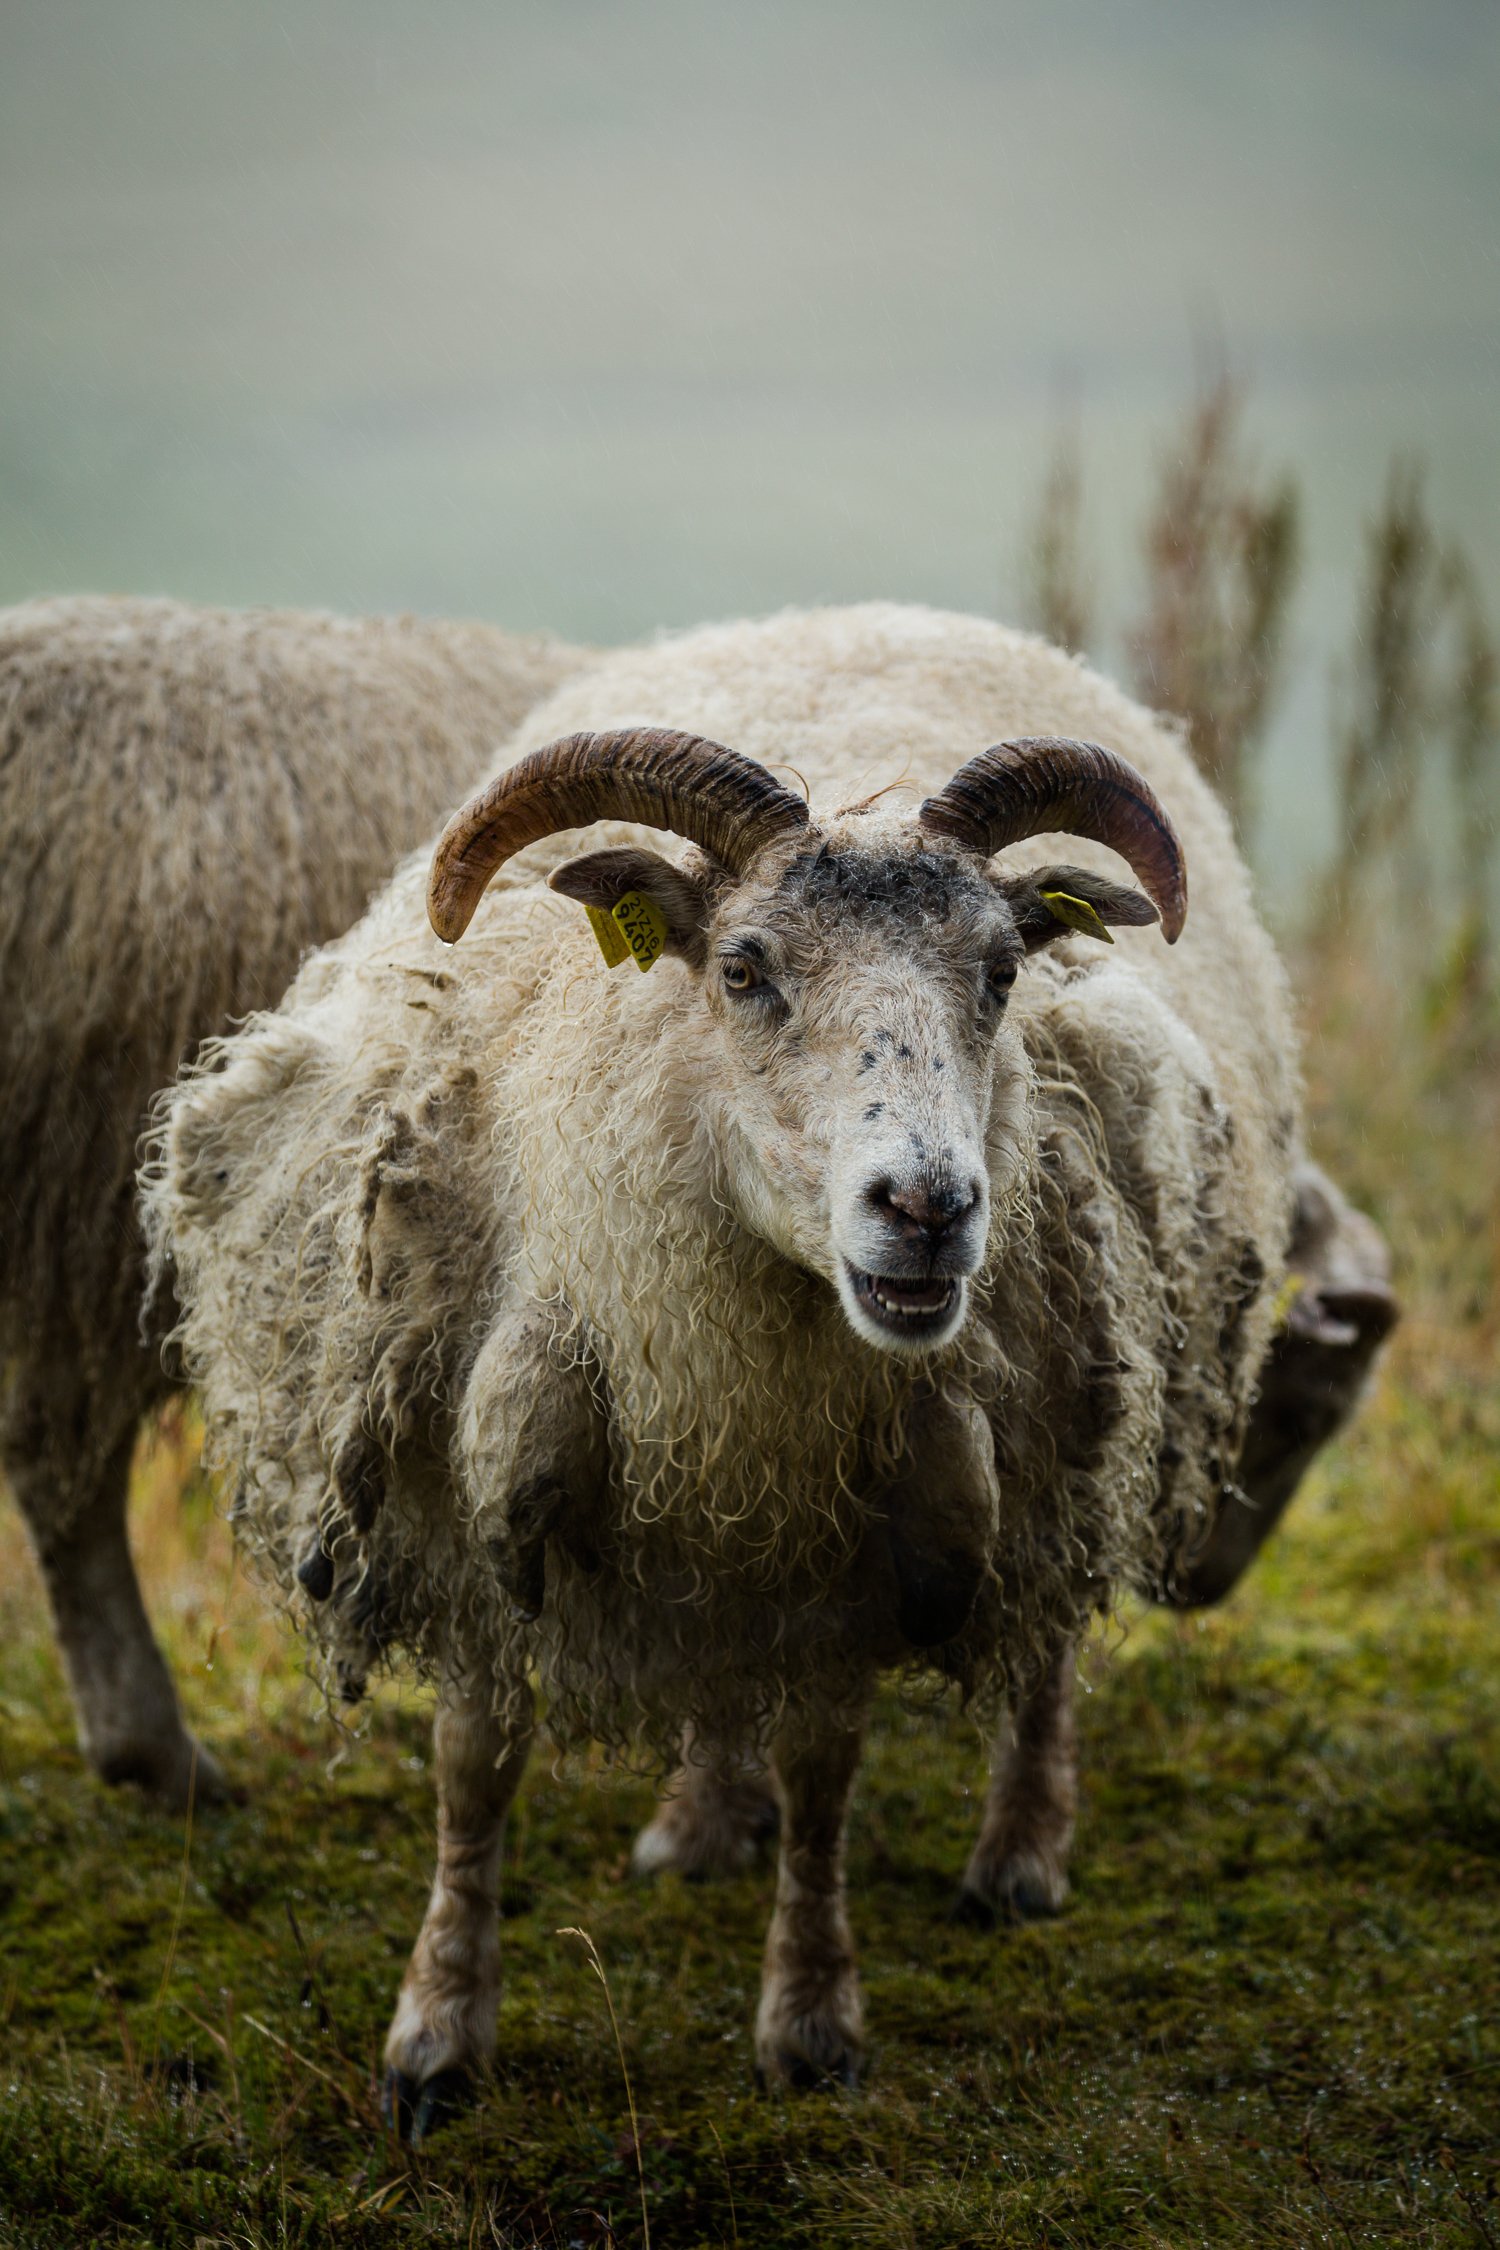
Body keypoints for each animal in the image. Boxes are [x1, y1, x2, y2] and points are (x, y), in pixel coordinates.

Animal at [146, 612, 1394, 2124]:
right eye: (741, 968)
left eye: (1001, 973)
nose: (927, 1209)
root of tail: (893, 611)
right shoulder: (475, 1510)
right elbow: (472, 1772)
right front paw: (437, 2032)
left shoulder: (861, 1556)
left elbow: (825, 1779)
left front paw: (810, 2018)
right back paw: (699, 1821)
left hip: (1085, 1411)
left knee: (1042, 1630)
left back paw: (1019, 1851)